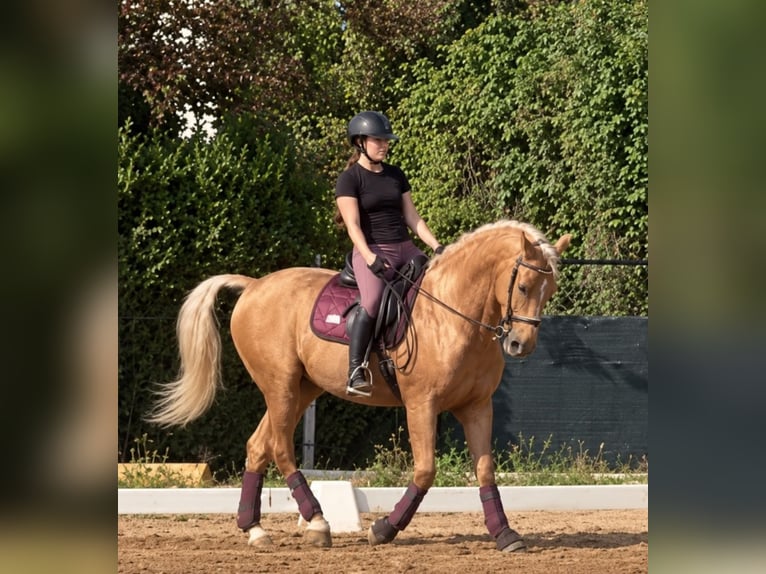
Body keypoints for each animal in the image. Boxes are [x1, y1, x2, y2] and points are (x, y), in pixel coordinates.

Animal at [148, 219, 571, 552]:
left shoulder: (477, 406)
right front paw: (383, 530)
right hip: (280, 386)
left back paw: (254, 530)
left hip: (301, 389)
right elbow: (425, 471)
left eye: (548, 291)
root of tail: (253, 286)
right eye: (524, 286)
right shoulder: (421, 404)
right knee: (281, 448)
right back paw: (317, 523)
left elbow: (485, 471)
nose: (520, 345)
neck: (454, 314)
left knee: (258, 446)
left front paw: (505, 534)